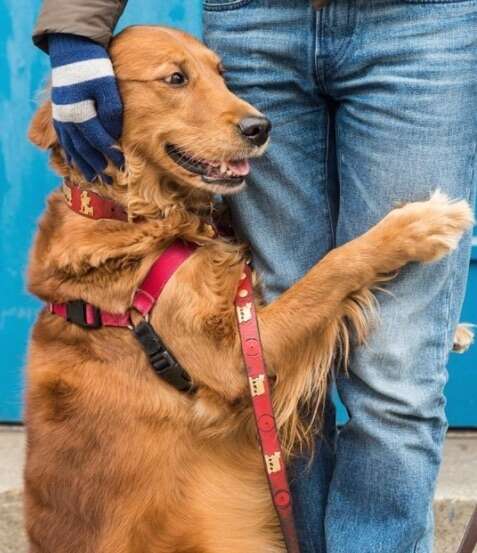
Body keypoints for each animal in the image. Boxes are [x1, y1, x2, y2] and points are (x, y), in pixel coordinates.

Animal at [25, 25, 472, 552]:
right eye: (176, 78)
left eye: (223, 74)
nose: (261, 127)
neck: (132, 214)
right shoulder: (230, 360)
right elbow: (330, 268)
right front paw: (417, 226)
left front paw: (455, 330)